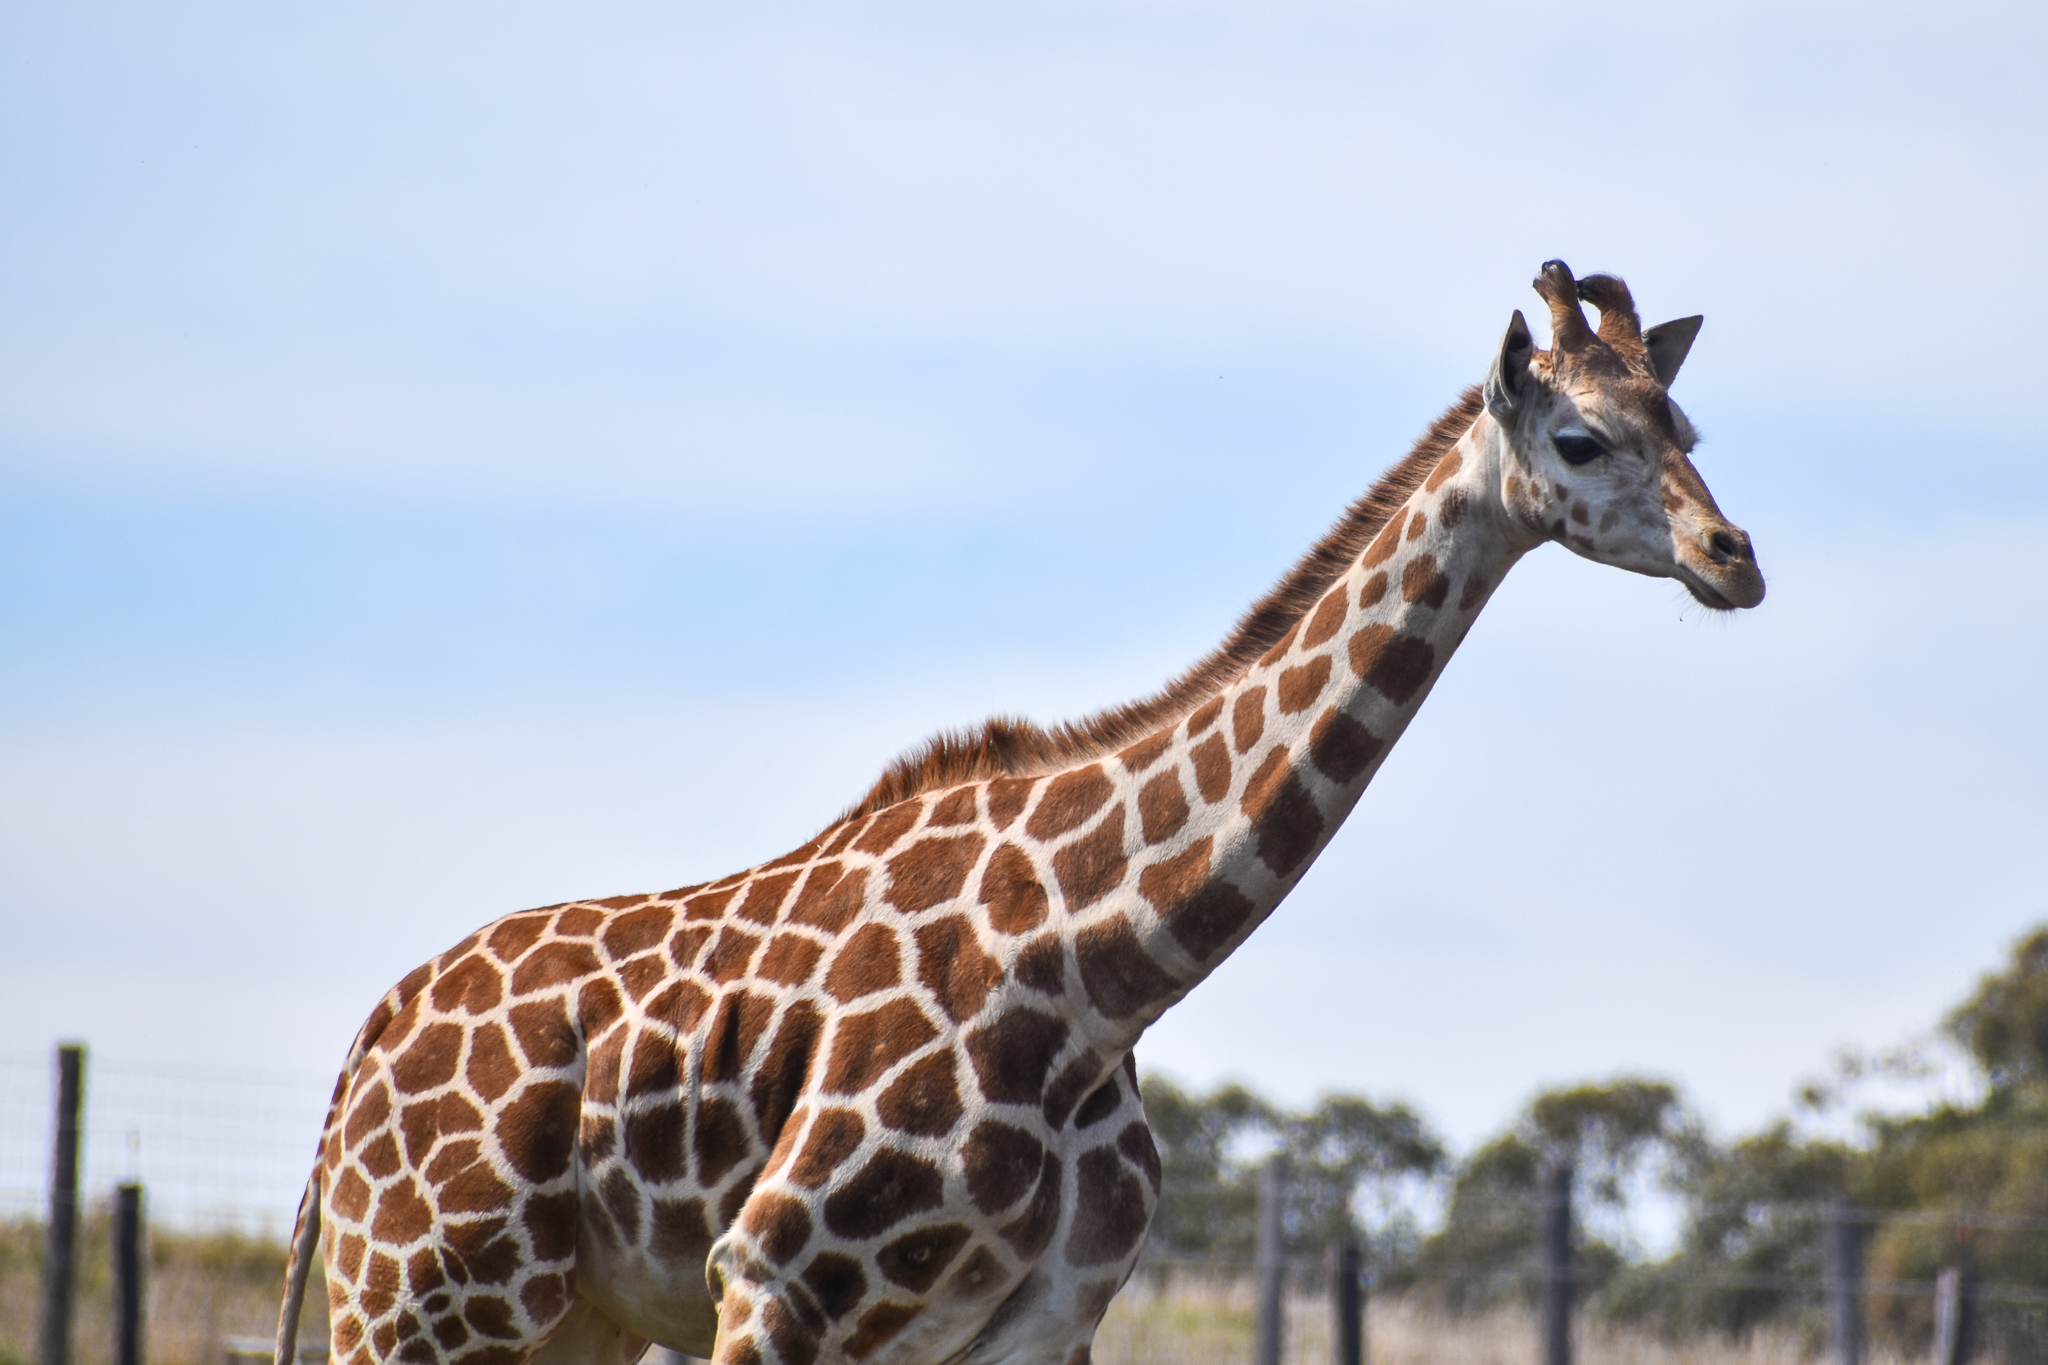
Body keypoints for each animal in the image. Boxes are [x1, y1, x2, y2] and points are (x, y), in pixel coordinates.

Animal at [275, 261, 1763, 1365]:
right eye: (1579, 437)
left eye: (1685, 432)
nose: (1730, 558)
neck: (1100, 968)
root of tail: (361, 1055)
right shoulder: (770, 1275)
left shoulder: (1033, 1325)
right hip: (421, 1300)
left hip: (557, 1321)